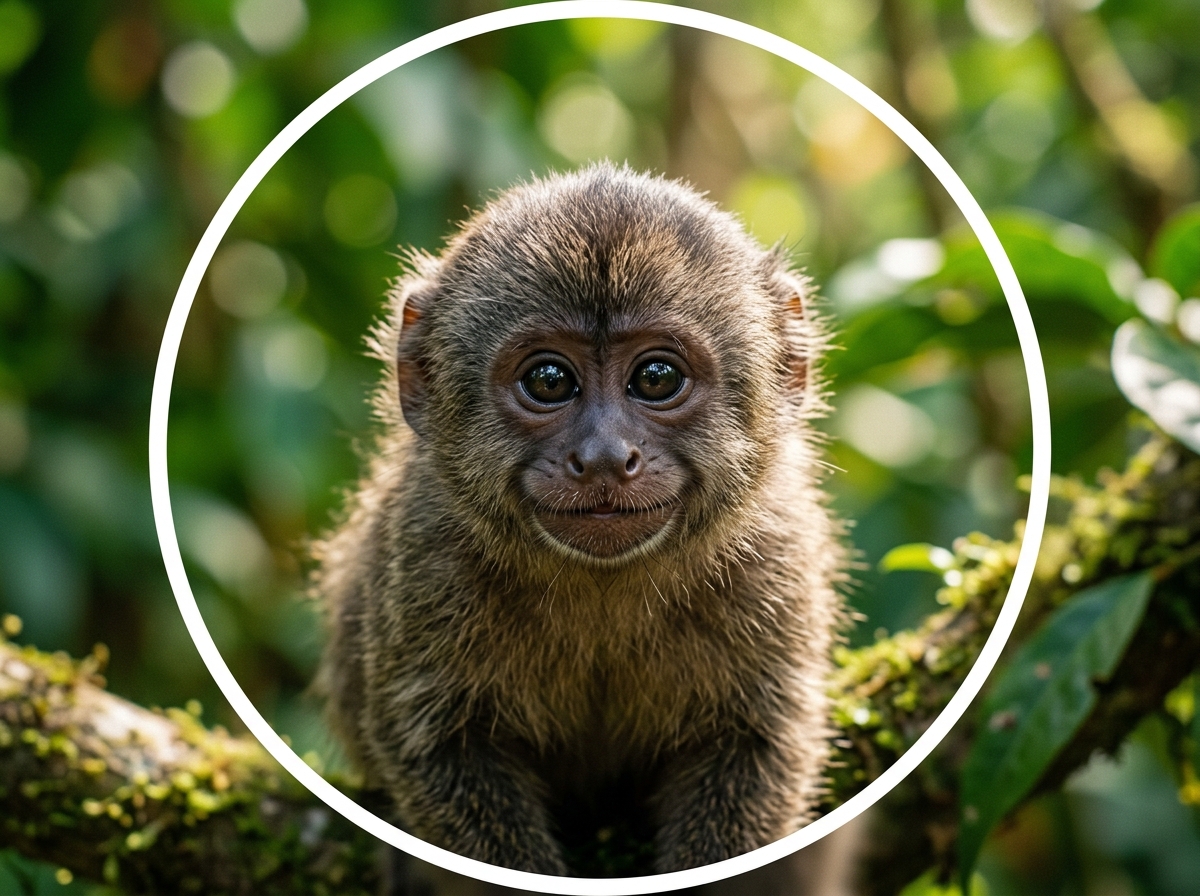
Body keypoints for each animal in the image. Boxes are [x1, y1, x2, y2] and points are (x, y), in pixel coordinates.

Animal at [313, 162, 845, 881]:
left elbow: (758, 741)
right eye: (548, 380)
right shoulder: (425, 552)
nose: (603, 457)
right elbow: (435, 744)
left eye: (656, 377)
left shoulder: (774, 554)